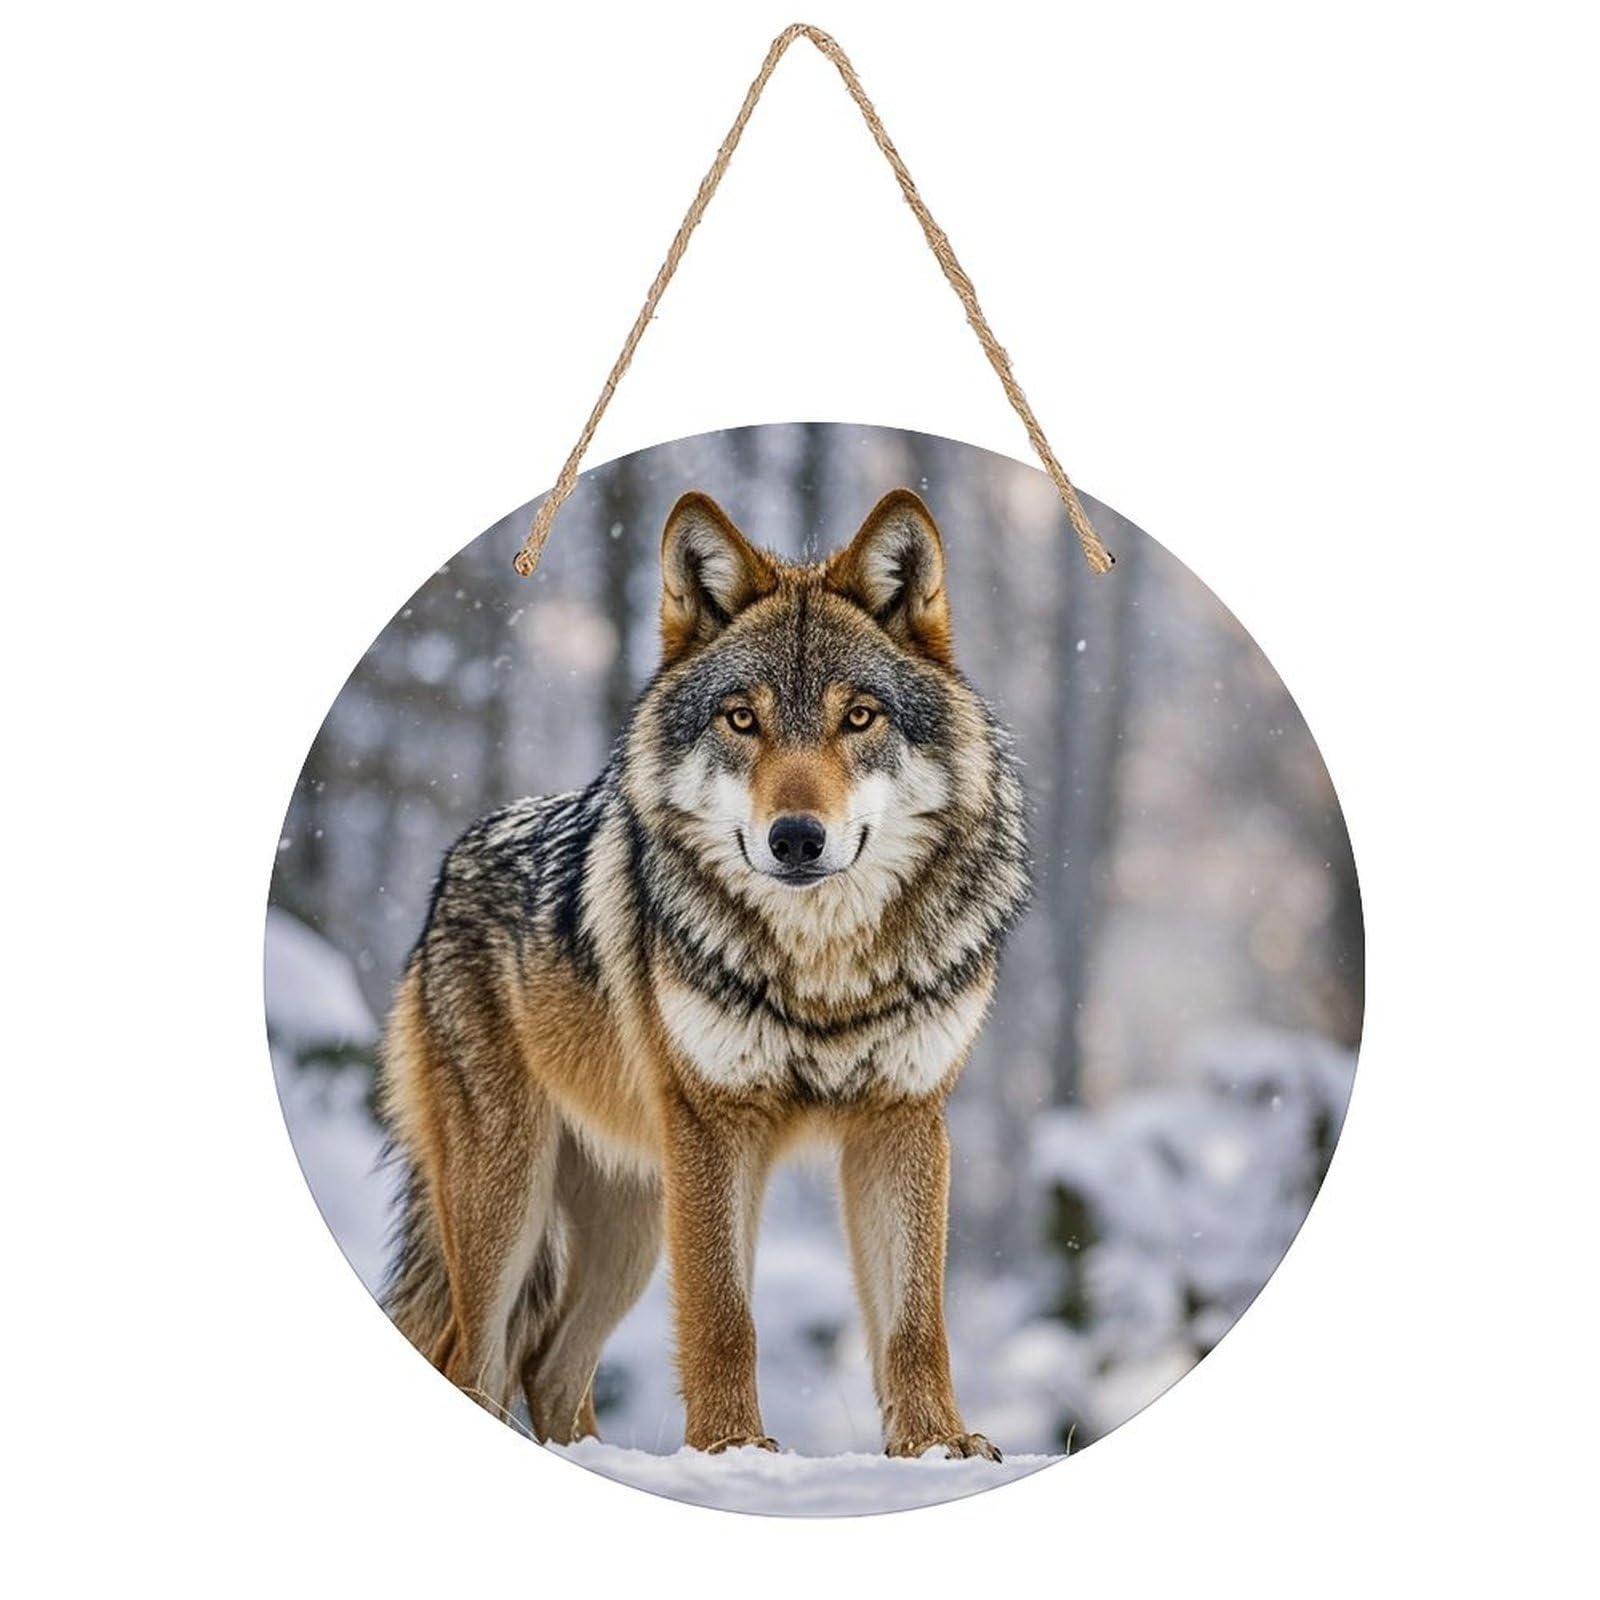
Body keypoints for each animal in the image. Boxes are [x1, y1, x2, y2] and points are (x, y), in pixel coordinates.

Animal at [379, 487, 1029, 1459]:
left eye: (859, 717)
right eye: (741, 718)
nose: (795, 838)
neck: (823, 972)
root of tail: (446, 872)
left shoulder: (904, 1119)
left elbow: (917, 1320)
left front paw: (937, 1446)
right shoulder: (715, 1126)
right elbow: (725, 1318)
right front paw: (732, 1451)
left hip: (633, 1218)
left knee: (552, 1368)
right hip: (515, 1198)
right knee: (476, 1361)